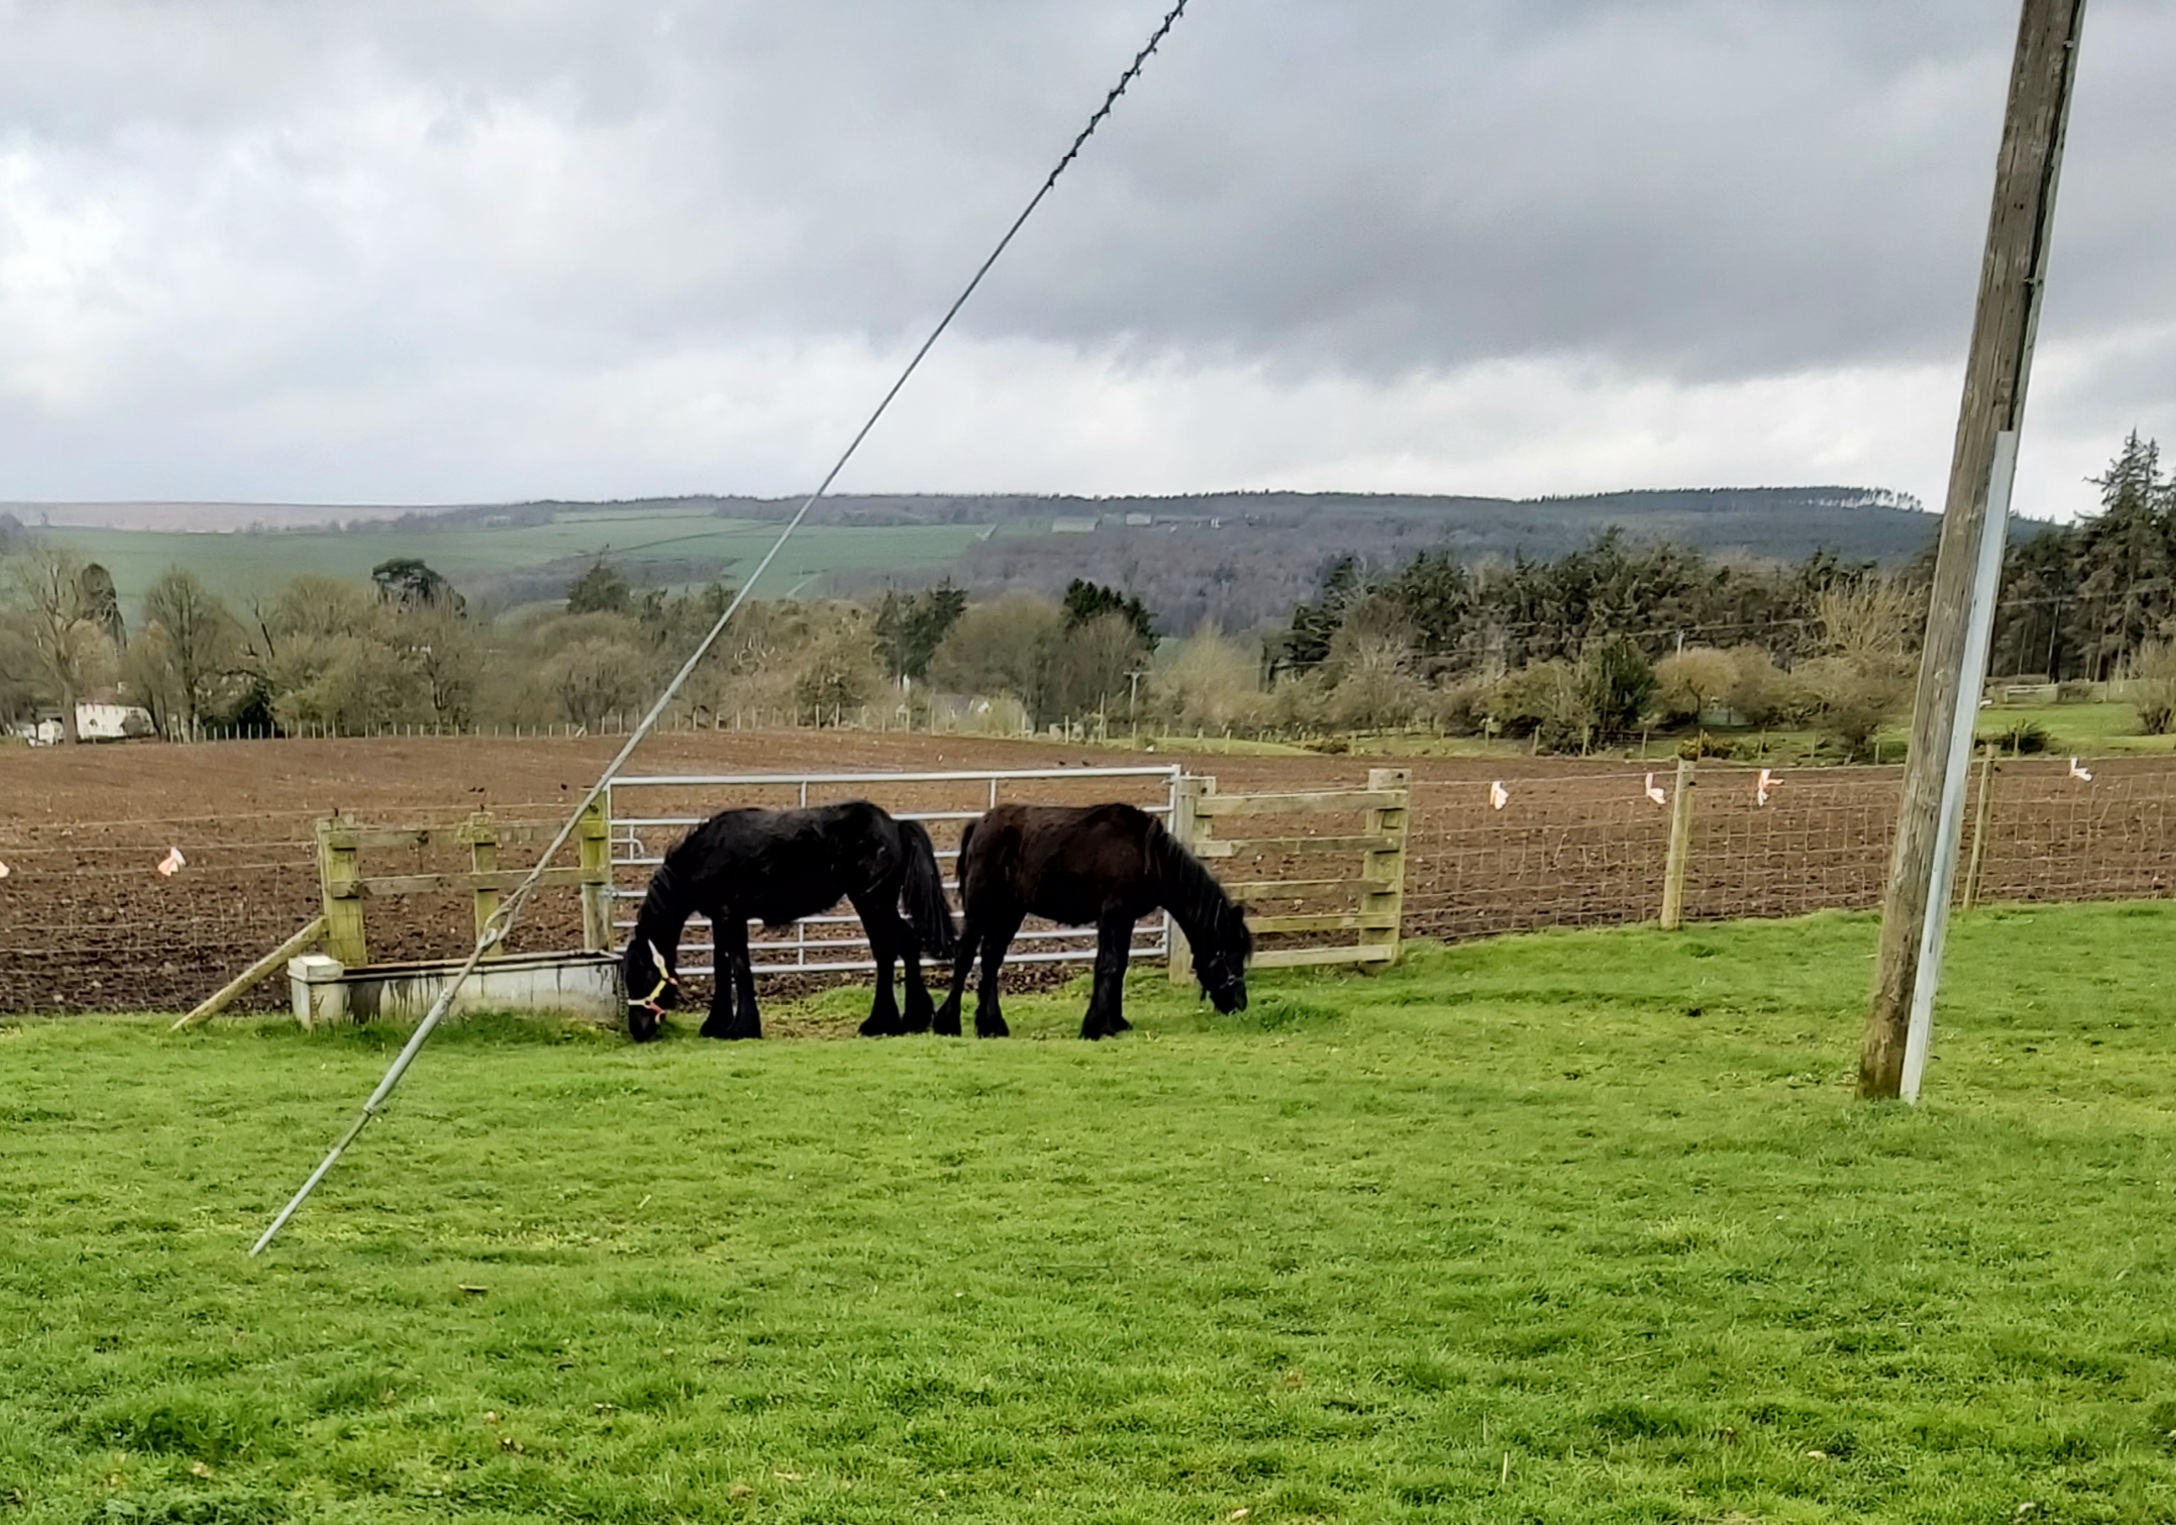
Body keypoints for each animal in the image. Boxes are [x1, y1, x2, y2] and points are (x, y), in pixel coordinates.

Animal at [617, 796, 948, 1035]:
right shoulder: (720, 919)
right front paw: (716, 1024)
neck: (704, 854)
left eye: (642, 976)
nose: (637, 1030)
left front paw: (741, 1028)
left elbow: (739, 966)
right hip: (879, 904)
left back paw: (881, 1023)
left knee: (887, 950)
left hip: (872, 902)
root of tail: (895, 826)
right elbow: (721, 966)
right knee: (906, 943)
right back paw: (913, 1019)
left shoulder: (730, 916)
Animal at [926, 796, 1253, 1035]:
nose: (1240, 1003)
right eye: (1229, 953)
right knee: (966, 956)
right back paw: (948, 1023)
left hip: (1010, 913)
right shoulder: (1112, 916)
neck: (1147, 856)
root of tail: (979, 825)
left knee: (991, 959)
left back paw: (991, 1025)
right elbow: (1108, 965)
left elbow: (1120, 966)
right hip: (981, 909)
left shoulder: (1127, 919)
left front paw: (1116, 1022)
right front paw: (1096, 1026)